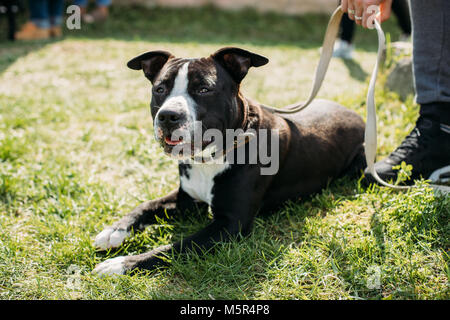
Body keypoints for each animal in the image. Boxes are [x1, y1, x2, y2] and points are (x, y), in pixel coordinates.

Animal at [92, 47, 366, 276]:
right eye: (159, 89)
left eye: (204, 89)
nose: (168, 116)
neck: (209, 158)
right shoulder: (186, 199)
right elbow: (146, 205)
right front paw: (113, 231)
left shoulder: (230, 224)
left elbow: (175, 247)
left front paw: (121, 263)